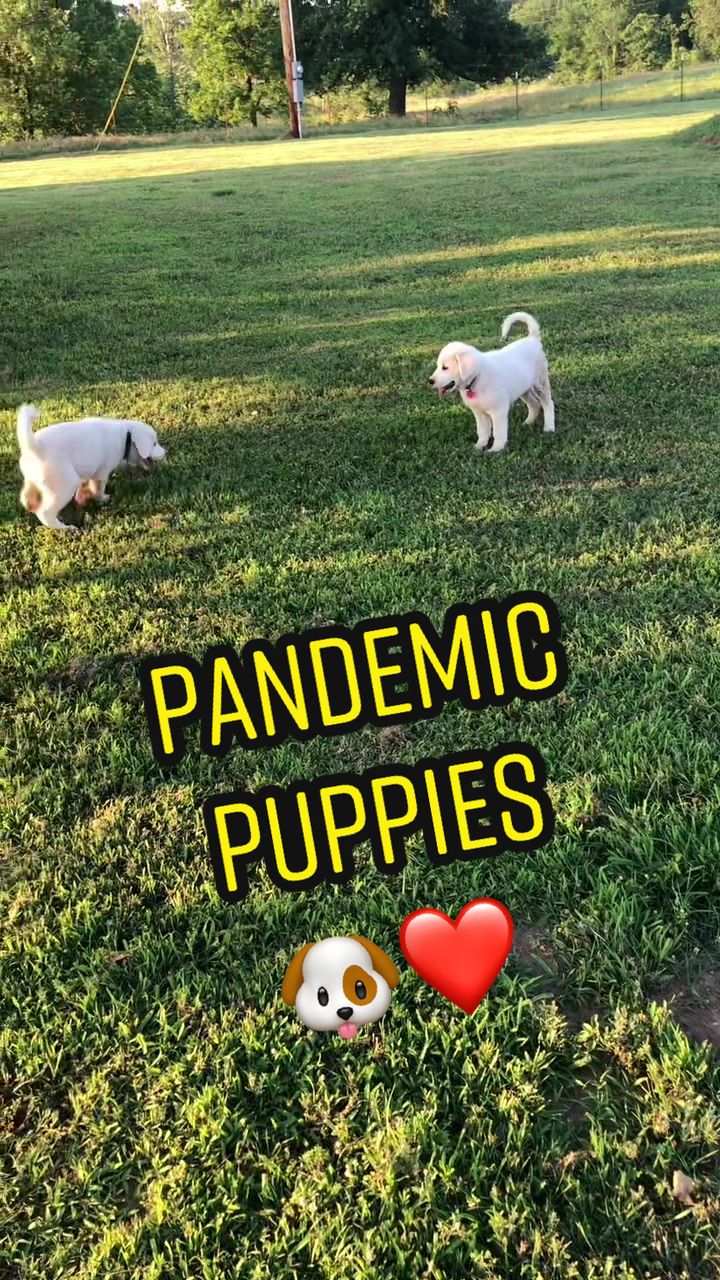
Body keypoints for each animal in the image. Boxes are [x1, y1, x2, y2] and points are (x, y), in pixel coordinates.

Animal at [17, 404, 166, 533]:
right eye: (154, 443)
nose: (165, 453)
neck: (126, 437)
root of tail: (34, 447)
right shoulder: (101, 474)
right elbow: (97, 490)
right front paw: (103, 498)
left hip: (32, 481)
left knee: (26, 497)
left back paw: (31, 504)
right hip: (64, 486)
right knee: (45, 513)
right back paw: (66, 528)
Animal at [429, 311, 555, 454]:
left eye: (445, 367)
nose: (430, 381)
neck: (477, 378)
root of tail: (532, 339)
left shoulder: (498, 411)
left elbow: (498, 432)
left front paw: (496, 449)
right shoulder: (479, 412)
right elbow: (482, 431)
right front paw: (479, 446)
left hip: (540, 382)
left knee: (547, 404)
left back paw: (549, 427)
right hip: (524, 388)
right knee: (534, 404)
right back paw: (528, 422)